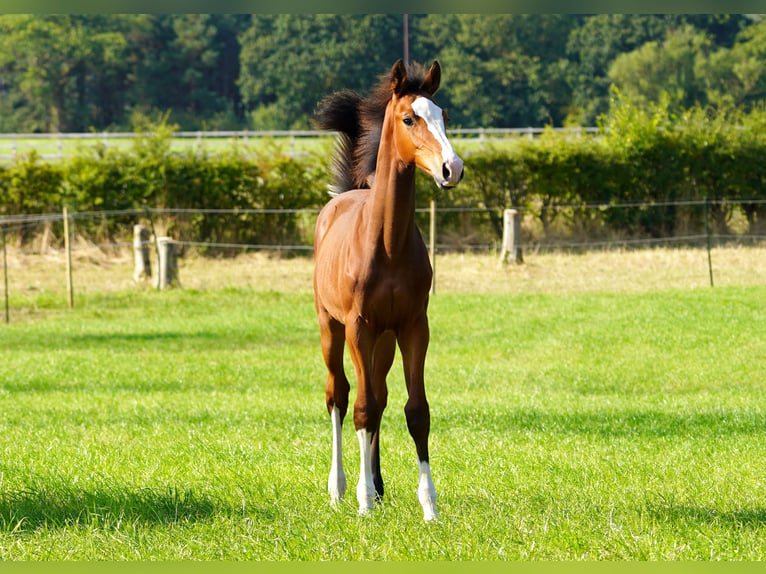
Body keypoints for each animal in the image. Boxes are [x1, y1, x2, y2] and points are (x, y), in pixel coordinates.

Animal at [314, 60, 468, 524]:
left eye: (444, 116)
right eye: (408, 118)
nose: (452, 168)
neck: (387, 242)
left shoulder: (414, 326)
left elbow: (416, 411)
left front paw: (429, 506)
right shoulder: (359, 328)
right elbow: (361, 407)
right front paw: (363, 501)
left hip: (384, 340)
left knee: (379, 397)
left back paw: (379, 486)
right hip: (332, 328)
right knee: (340, 396)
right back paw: (342, 489)